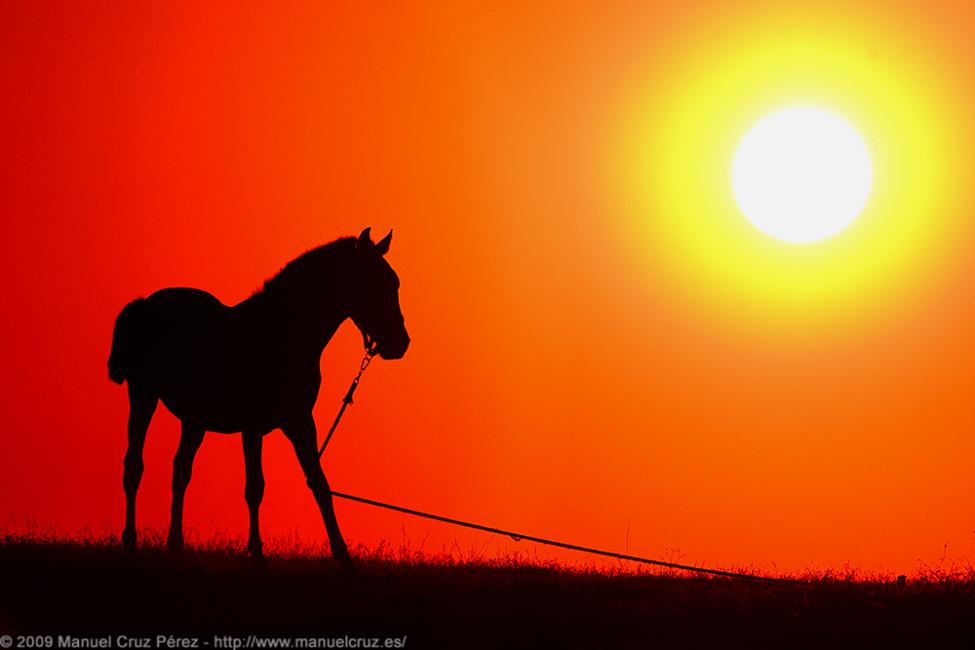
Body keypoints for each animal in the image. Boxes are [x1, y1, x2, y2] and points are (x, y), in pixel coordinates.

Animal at [107, 229, 408, 568]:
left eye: (394, 283)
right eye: (373, 282)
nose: (400, 342)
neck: (282, 334)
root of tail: (145, 304)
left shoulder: (300, 422)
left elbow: (319, 483)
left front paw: (343, 557)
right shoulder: (252, 426)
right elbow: (254, 487)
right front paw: (256, 554)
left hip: (193, 420)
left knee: (180, 471)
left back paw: (176, 546)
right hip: (143, 394)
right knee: (134, 465)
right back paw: (130, 542)